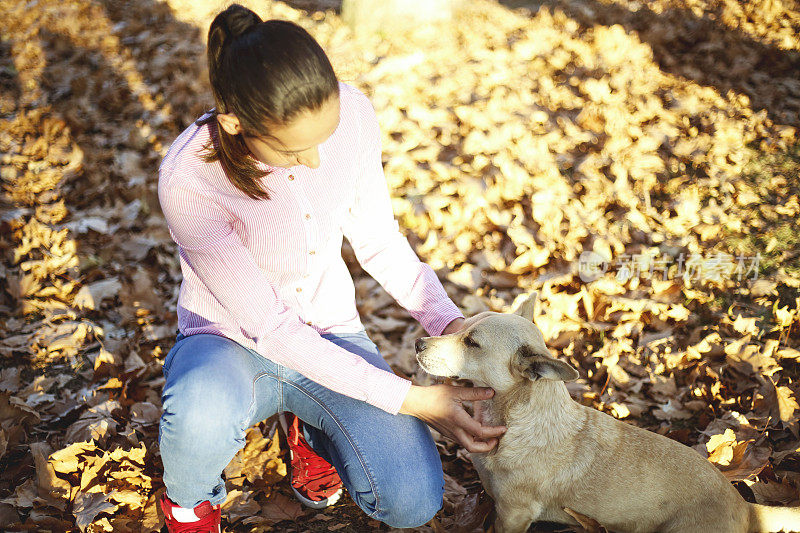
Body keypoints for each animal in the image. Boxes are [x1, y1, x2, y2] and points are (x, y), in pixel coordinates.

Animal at [412, 294, 800, 532]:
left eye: (471, 343)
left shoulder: (514, 513)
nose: (418, 343)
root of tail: (746, 507)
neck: (514, 416)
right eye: (462, 326)